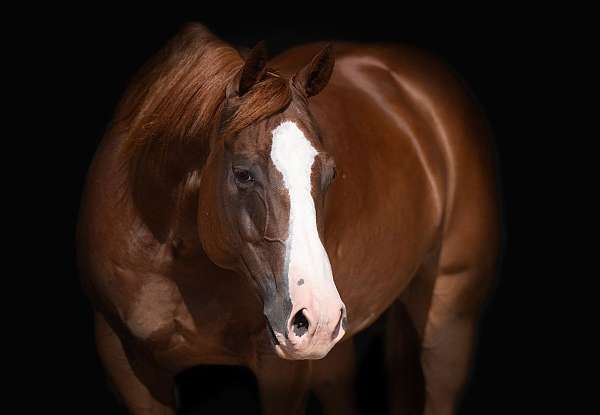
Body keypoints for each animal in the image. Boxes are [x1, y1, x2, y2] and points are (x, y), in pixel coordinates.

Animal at [78, 23, 502, 415]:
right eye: (243, 174)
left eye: (330, 173)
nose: (317, 318)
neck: (174, 257)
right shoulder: (129, 365)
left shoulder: (284, 372)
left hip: (449, 320)